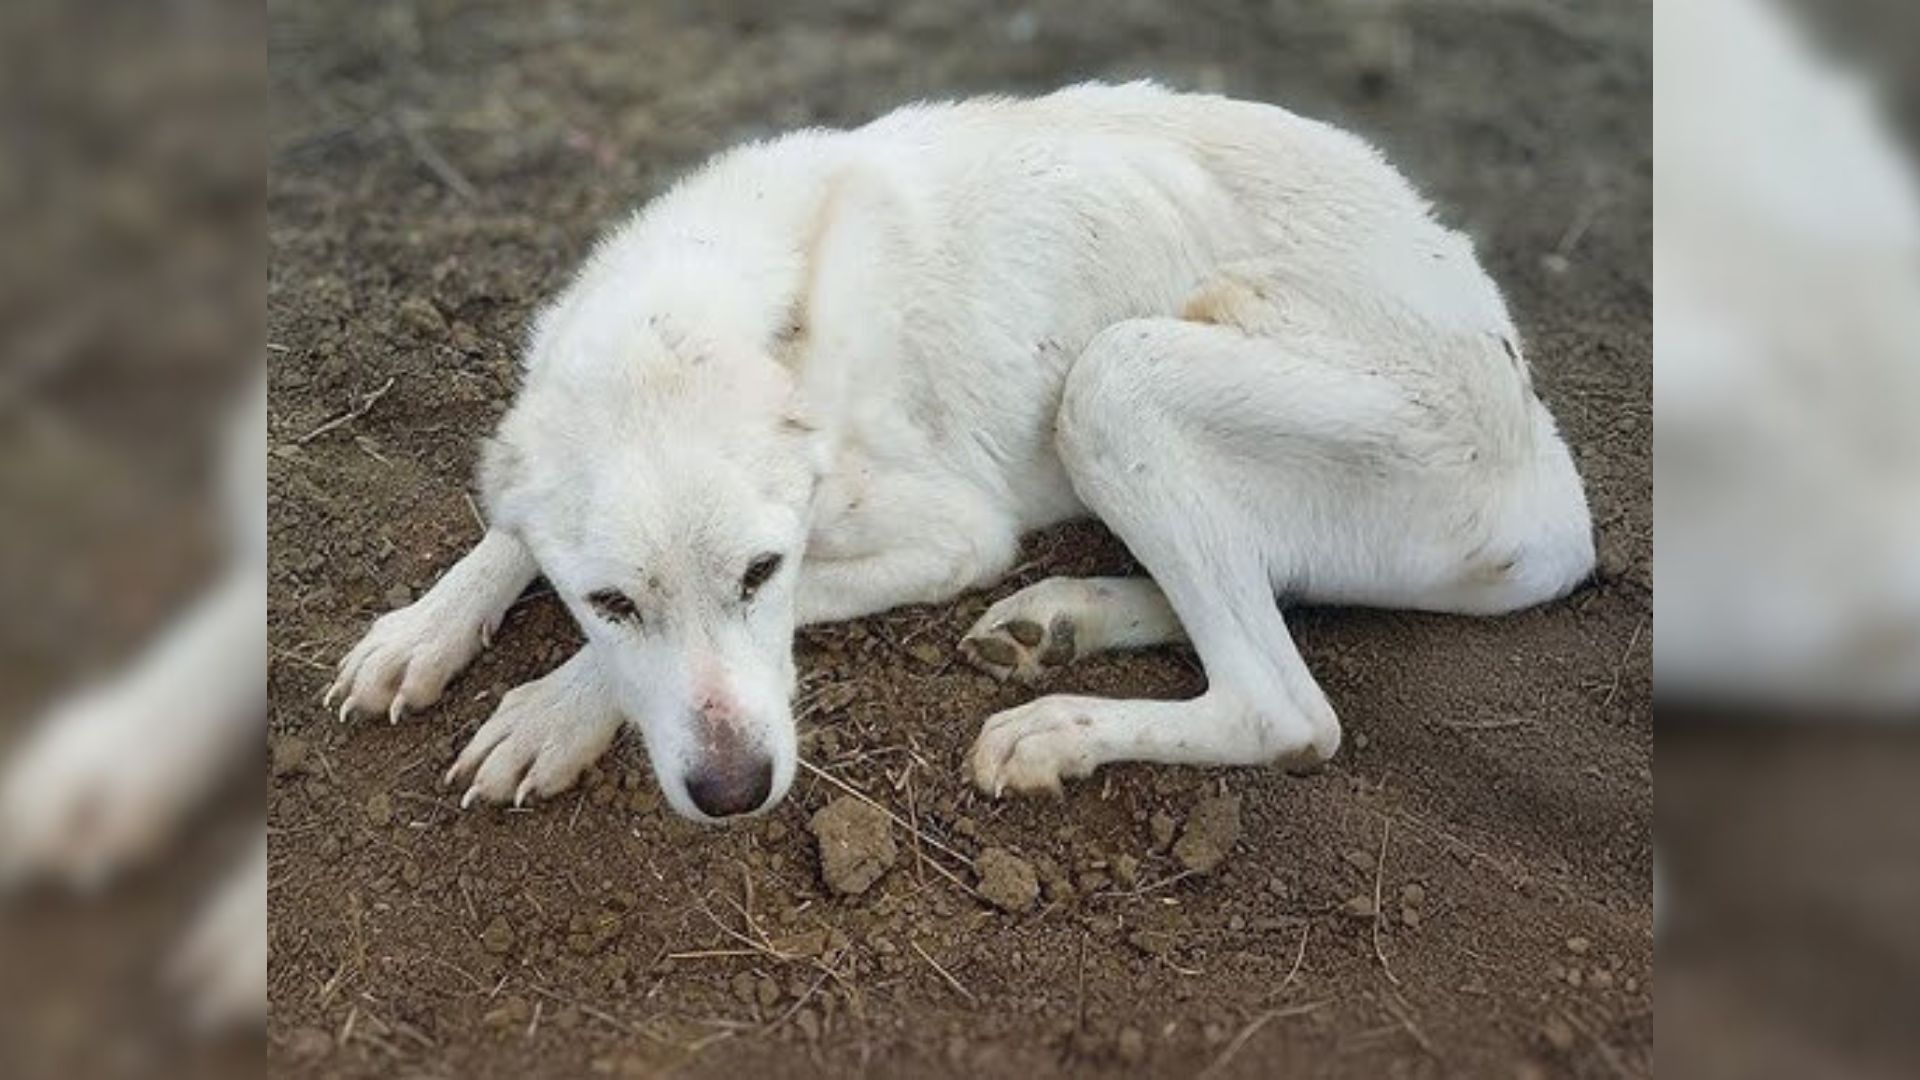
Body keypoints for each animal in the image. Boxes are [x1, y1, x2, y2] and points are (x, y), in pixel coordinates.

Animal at [326, 84, 1589, 818]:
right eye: (611, 599)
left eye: (760, 572)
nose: (733, 794)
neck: (704, 306)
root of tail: (1561, 504)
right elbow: (512, 529)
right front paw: (424, 629)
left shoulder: (949, 538)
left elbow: (765, 626)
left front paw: (552, 709)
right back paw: (1063, 619)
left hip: (1119, 380)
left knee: (1285, 711)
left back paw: (1059, 726)